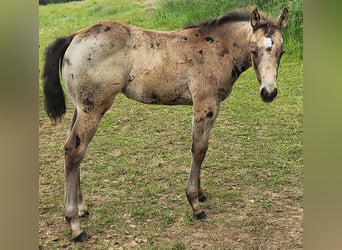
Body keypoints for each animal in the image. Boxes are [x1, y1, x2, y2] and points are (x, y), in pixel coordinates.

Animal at [43, 7, 288, 241]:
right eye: (254, 49)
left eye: (282, 52)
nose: (269, 93)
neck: (219, 47)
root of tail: (74, 36)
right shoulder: (205, 104)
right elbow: (199, 149)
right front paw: (195, 204)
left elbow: (204, 149)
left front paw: (201, 194)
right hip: (93, 109)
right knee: (74, 151)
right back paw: (75, 225)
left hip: (80, 108)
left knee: (72, 149)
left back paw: (81, 208)